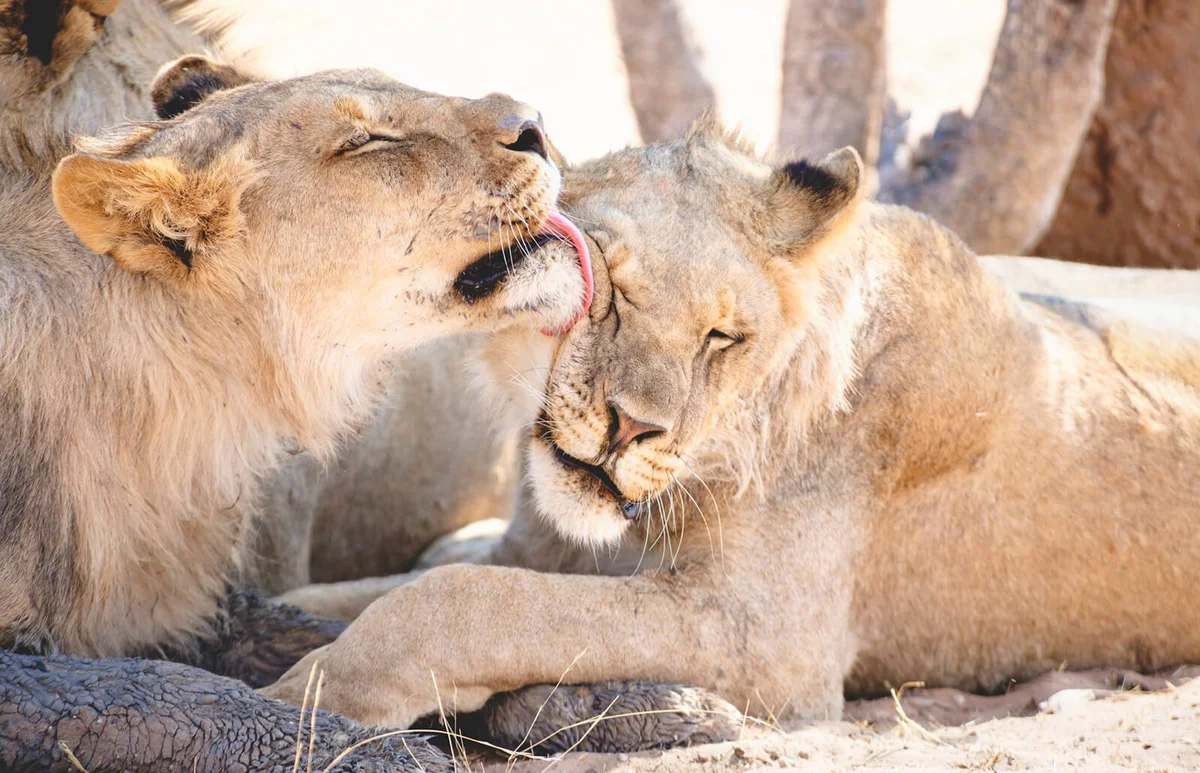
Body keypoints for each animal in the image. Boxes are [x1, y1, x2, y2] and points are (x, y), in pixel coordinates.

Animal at [264, 121, 1200, 735]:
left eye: (723, 335)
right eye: (610, 288)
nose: (630, 428)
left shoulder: (767, 639)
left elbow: (470, 601)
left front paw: (309, 693)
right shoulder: (530, 545)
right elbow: (365, 587)